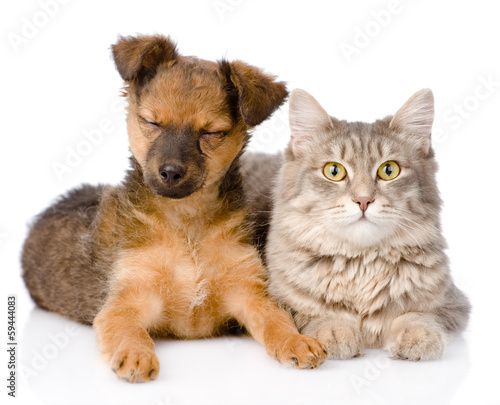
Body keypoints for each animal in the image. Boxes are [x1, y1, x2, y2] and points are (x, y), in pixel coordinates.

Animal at [21, 35, 328, 382]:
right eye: (151, 122)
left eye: (211, 133)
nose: (170, 172)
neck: (186, 222)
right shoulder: (125, 301)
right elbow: (129, 330)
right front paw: (135, 354)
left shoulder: (249, 293)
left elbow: (276, 319)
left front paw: (296, 341)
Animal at [266, 89, 468, 360]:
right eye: (333, 171)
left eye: (389, 170)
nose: (363, 200)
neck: (362, 264)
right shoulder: (281, 300)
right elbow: (319, 314)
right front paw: (335, 330)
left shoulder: (454, 304)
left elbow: (419, 315)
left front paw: (417, 335)